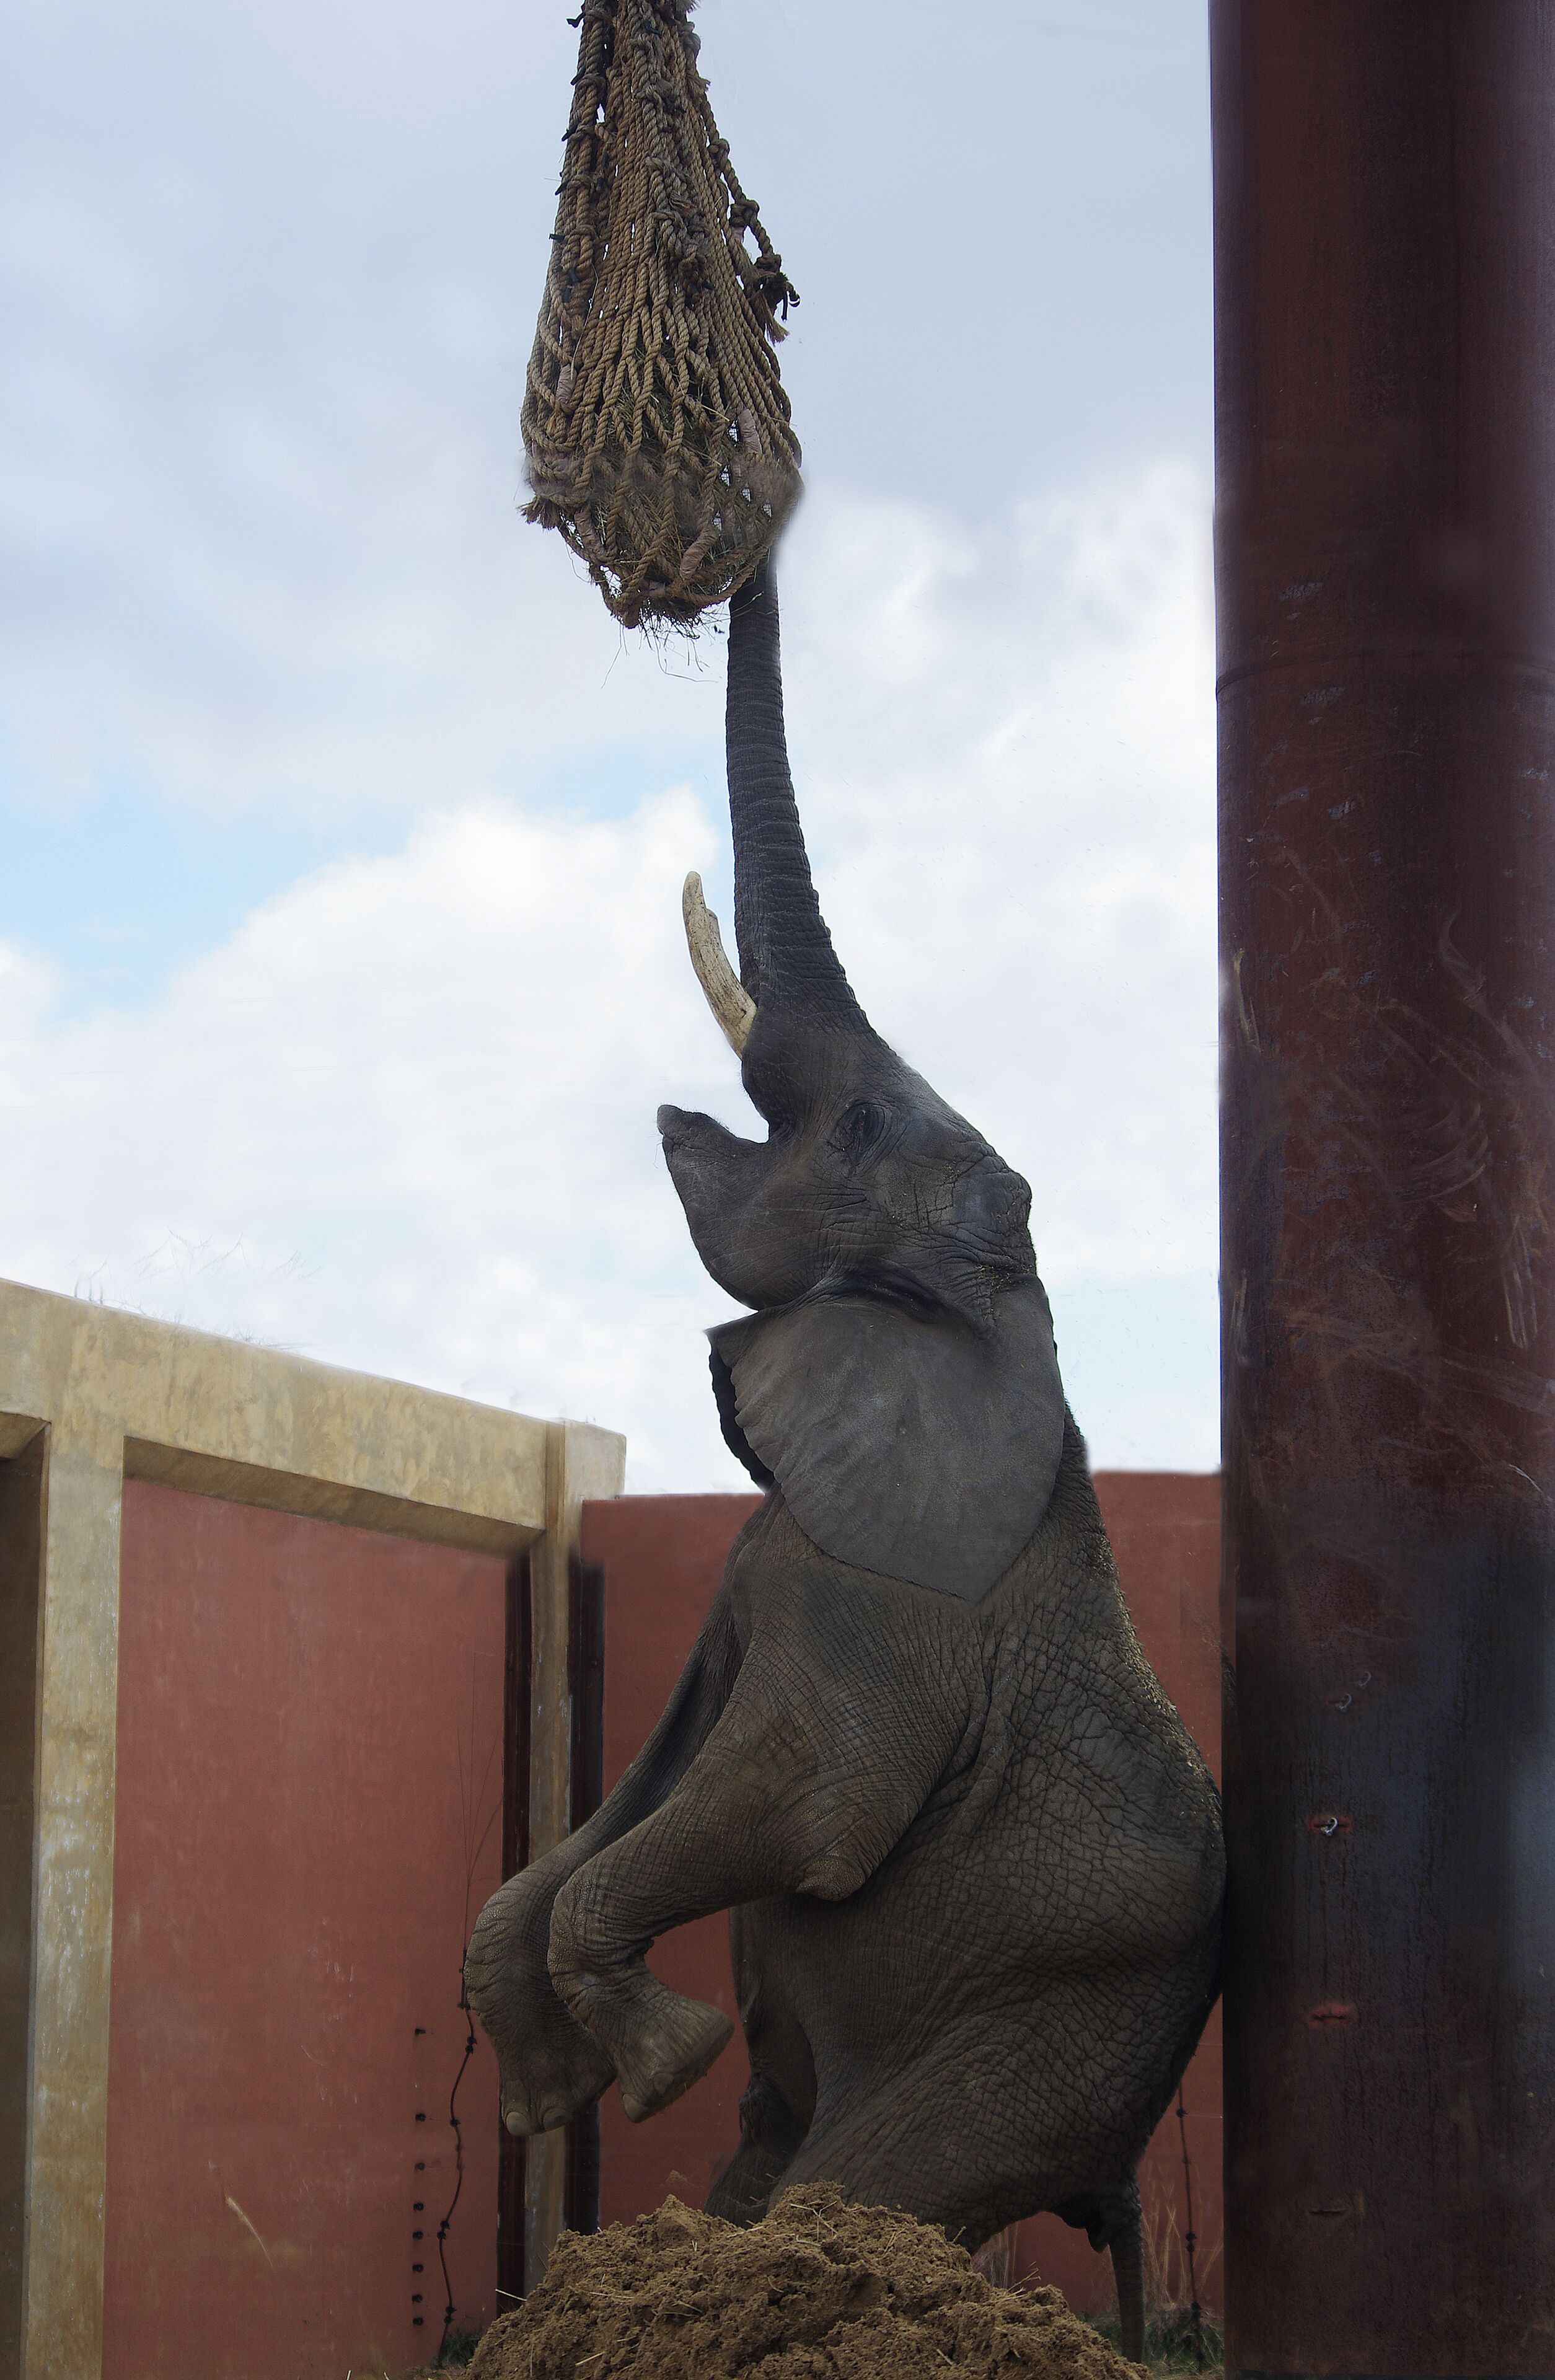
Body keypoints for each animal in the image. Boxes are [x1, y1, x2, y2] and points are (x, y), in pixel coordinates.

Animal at [466, 555, 1224, 2360]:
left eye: (866, 1127)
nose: (758, 541)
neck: (986, 1317)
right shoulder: (757, 1578)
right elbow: (605, 1819)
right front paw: (549, 2094)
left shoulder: (882, 1623)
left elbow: (796, 1805)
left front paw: (648, 2065)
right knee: (781, 2150)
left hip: (1041, 2039)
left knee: (867, 2179)